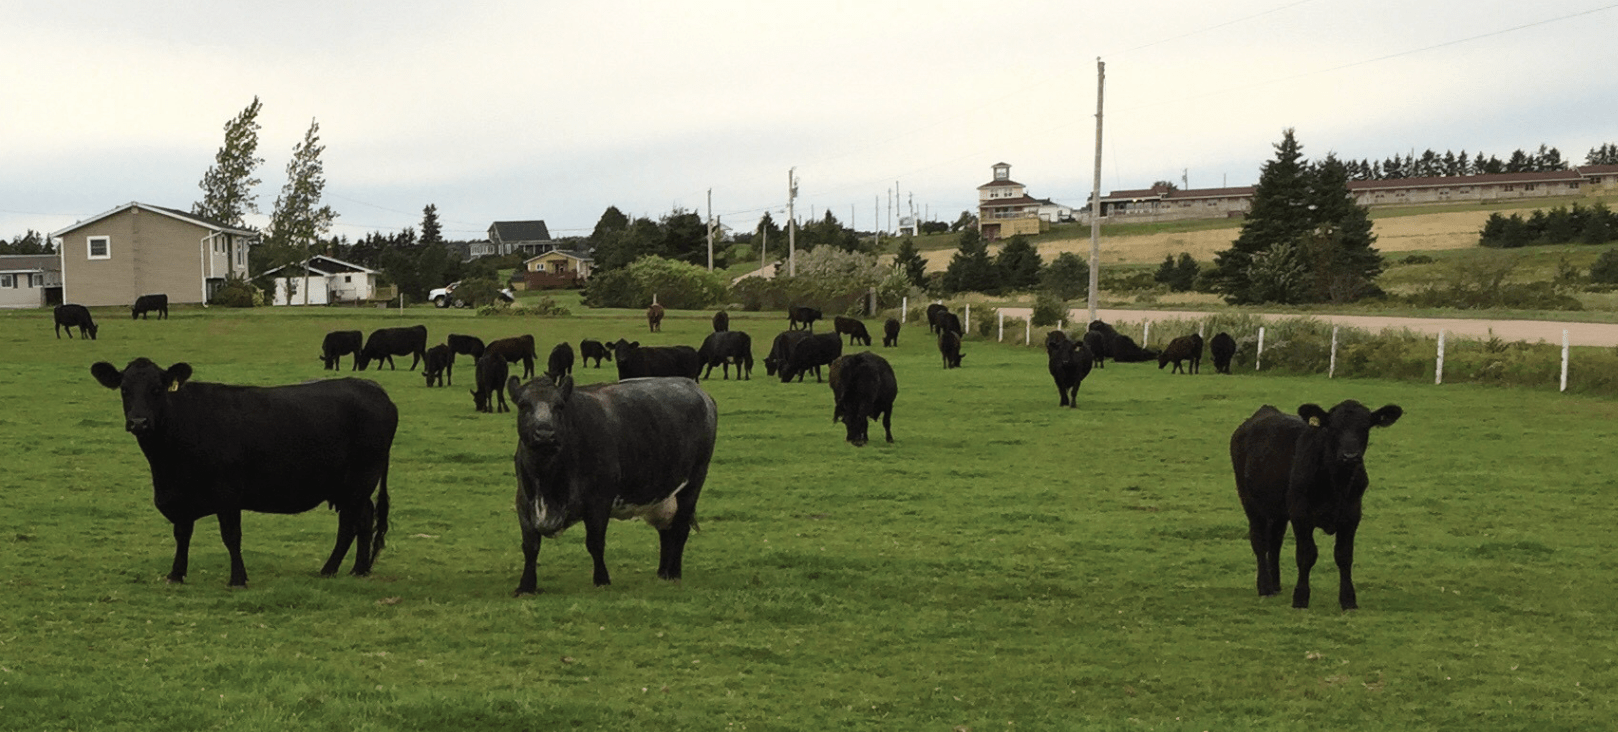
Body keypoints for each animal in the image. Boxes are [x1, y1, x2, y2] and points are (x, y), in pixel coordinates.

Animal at [90, 358, 396, 587]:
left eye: (157, 389)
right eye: (124, 389)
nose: (138, 422)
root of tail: (371, 386)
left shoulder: (227, 493)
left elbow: (231, 536)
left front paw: (238, 579)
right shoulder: (182, 496)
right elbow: (182, 533)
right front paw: (176, 574)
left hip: (358, 481)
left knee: (349, 524)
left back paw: (329, 569)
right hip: (353, 487)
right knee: (365, 518)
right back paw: (359, 570)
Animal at [508, 374, 718, 595]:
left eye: (559, 406)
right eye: (523, 405)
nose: (544, 433)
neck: (548, 480)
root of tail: (695, 388)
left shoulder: (599, 501)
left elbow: (595, 542)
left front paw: (601, 579)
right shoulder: (524, 502)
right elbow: (530, 546)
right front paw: (526, 586)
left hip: (693, 482)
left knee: (680, 528)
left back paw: (675, 573)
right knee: (666, 530)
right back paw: (663, 573)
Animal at [1230, 400, 1403, 610]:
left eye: (1365, 427)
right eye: (1333, 428)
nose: (1350, 456)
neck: (1336, 483)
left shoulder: (1352, 515)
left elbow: (1344, 556)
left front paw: (1348, 600)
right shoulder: (1300, 515)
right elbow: (1306, 555)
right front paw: (1300, 598)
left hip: (1278, 510)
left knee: (1275, 542)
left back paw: (1276, 584)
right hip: (1250, 502)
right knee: (1260, 542)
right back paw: (1265, 587)